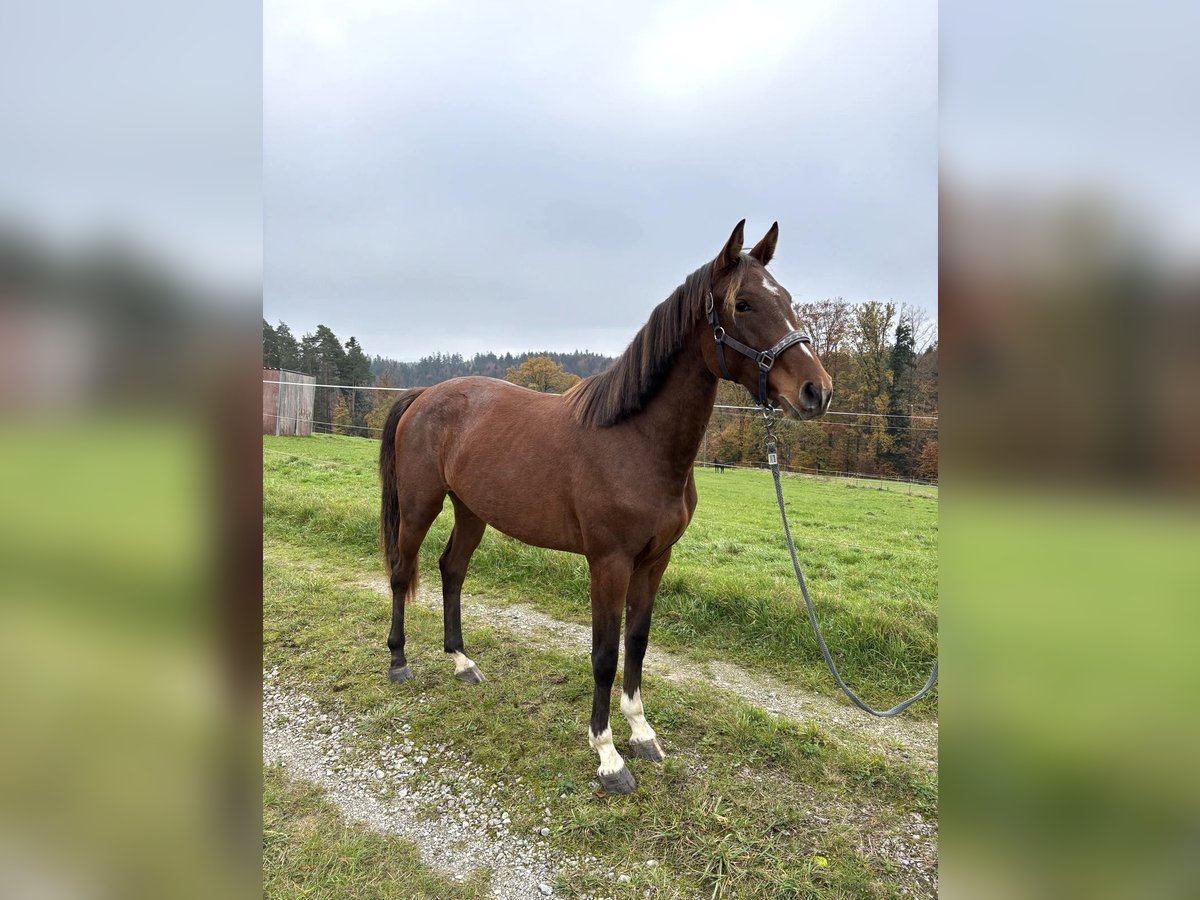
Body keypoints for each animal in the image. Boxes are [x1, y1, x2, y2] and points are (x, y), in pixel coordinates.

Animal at [379, 222, 830, 792]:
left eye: (788, 300)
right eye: (744, 304)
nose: (817, 391)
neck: (635, 441)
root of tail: (423, 395)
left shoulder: (655, 561)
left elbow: (636, 643)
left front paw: (642, 734)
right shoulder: (608, 563)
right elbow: (603, 654)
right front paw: (608, 755)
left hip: (471, 511)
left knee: (451, 570)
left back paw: (462, 662)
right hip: (421, 506)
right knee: (402, 571)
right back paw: (398, 661)